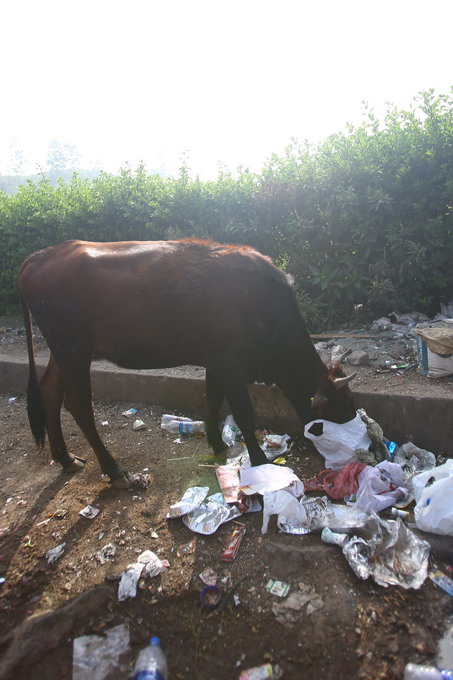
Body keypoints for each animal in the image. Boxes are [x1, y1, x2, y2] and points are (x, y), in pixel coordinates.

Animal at [18, 236, 356, 486]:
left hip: (65, 352)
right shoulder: (231, 364)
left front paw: (218, 445)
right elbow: (244, 414)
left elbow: (211, 402)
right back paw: (115, 471)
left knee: (50, 392)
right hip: (73, 349)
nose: (358, 449)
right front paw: (260, 461)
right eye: (343, 407)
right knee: (79, 406)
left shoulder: (216, 362)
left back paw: (66, 459)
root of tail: (39, 257)